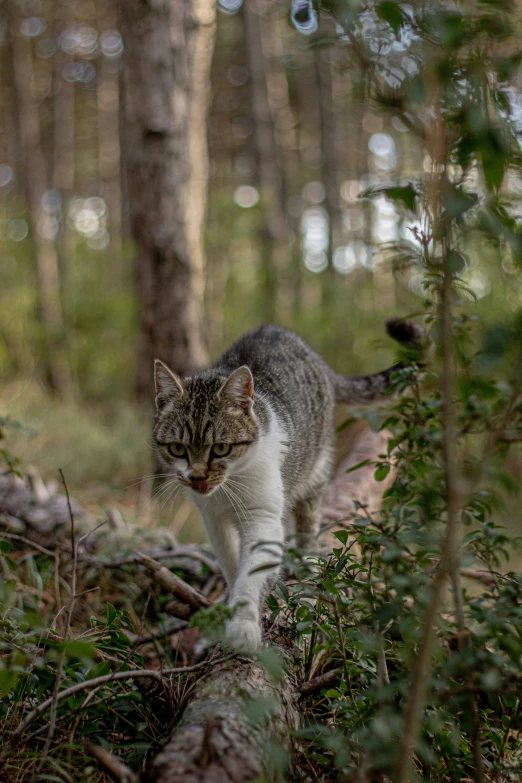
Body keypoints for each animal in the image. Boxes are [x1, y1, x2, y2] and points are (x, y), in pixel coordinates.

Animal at [152, 320, 420, 656]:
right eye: (177, 448)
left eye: (221, 448)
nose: (198, 477)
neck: (228, 489)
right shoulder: (213, 519)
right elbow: (231, 564)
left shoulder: (263, 515)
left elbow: (252, 570)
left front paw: (244, 622)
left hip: (315, 469)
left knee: (307, 518)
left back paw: (306, 559)